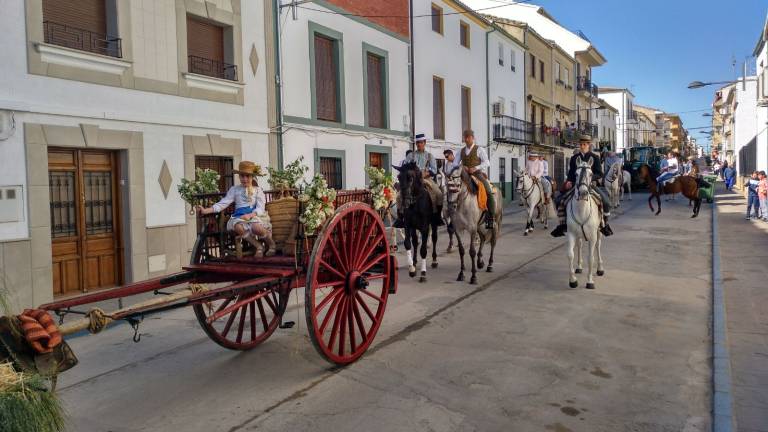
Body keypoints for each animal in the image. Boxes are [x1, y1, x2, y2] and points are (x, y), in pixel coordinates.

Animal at [564, 159, 608, 290]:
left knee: (598, 246)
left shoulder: (592, 236)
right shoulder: (571, 234)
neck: (582, 210)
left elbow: (590, 258)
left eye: (591, 173)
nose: (583, 193)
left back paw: (600, 269)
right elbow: (570, 255)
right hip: (578, 235)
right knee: (579, 245)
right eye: (576, 173)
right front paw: (573, 280)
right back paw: (579, 267)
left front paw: (590, 282)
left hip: (599, 232)